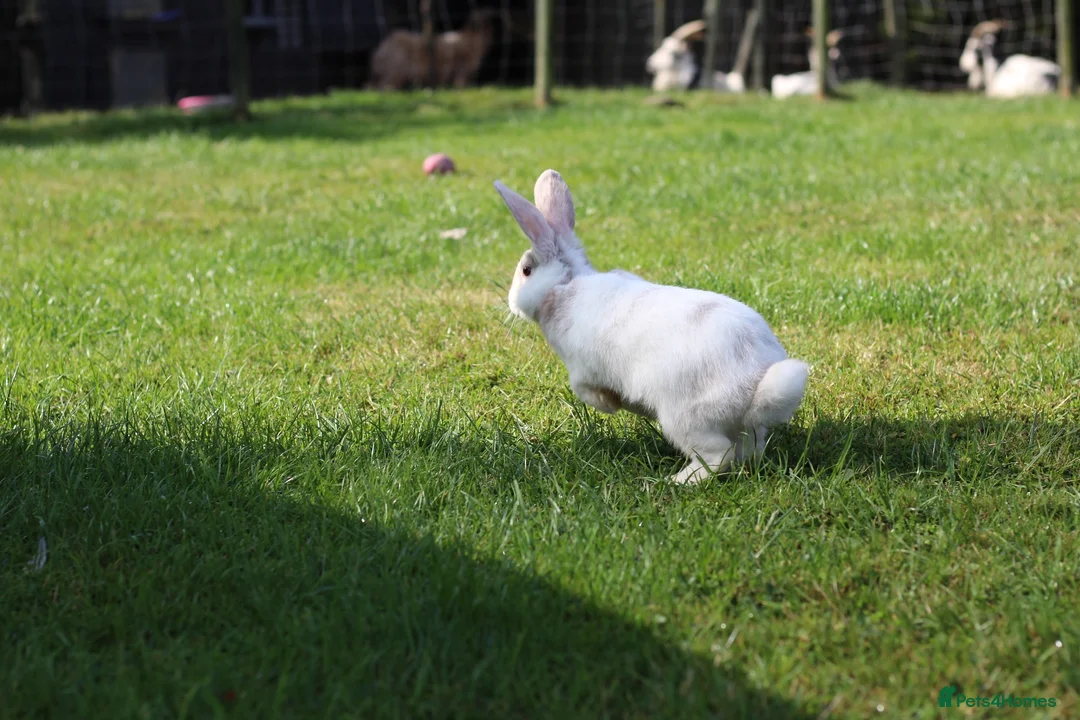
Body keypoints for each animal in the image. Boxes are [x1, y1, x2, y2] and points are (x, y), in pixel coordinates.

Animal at [495, 169, 809, 484]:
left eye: (526, 271)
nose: (510, 302)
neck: (564, 285)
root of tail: (755, 386)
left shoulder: (583, 373)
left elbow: (589, 393)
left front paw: (612, 405)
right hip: (740, 427)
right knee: (749, 450)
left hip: (685, 419)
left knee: (719, 456)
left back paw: (676, 481)